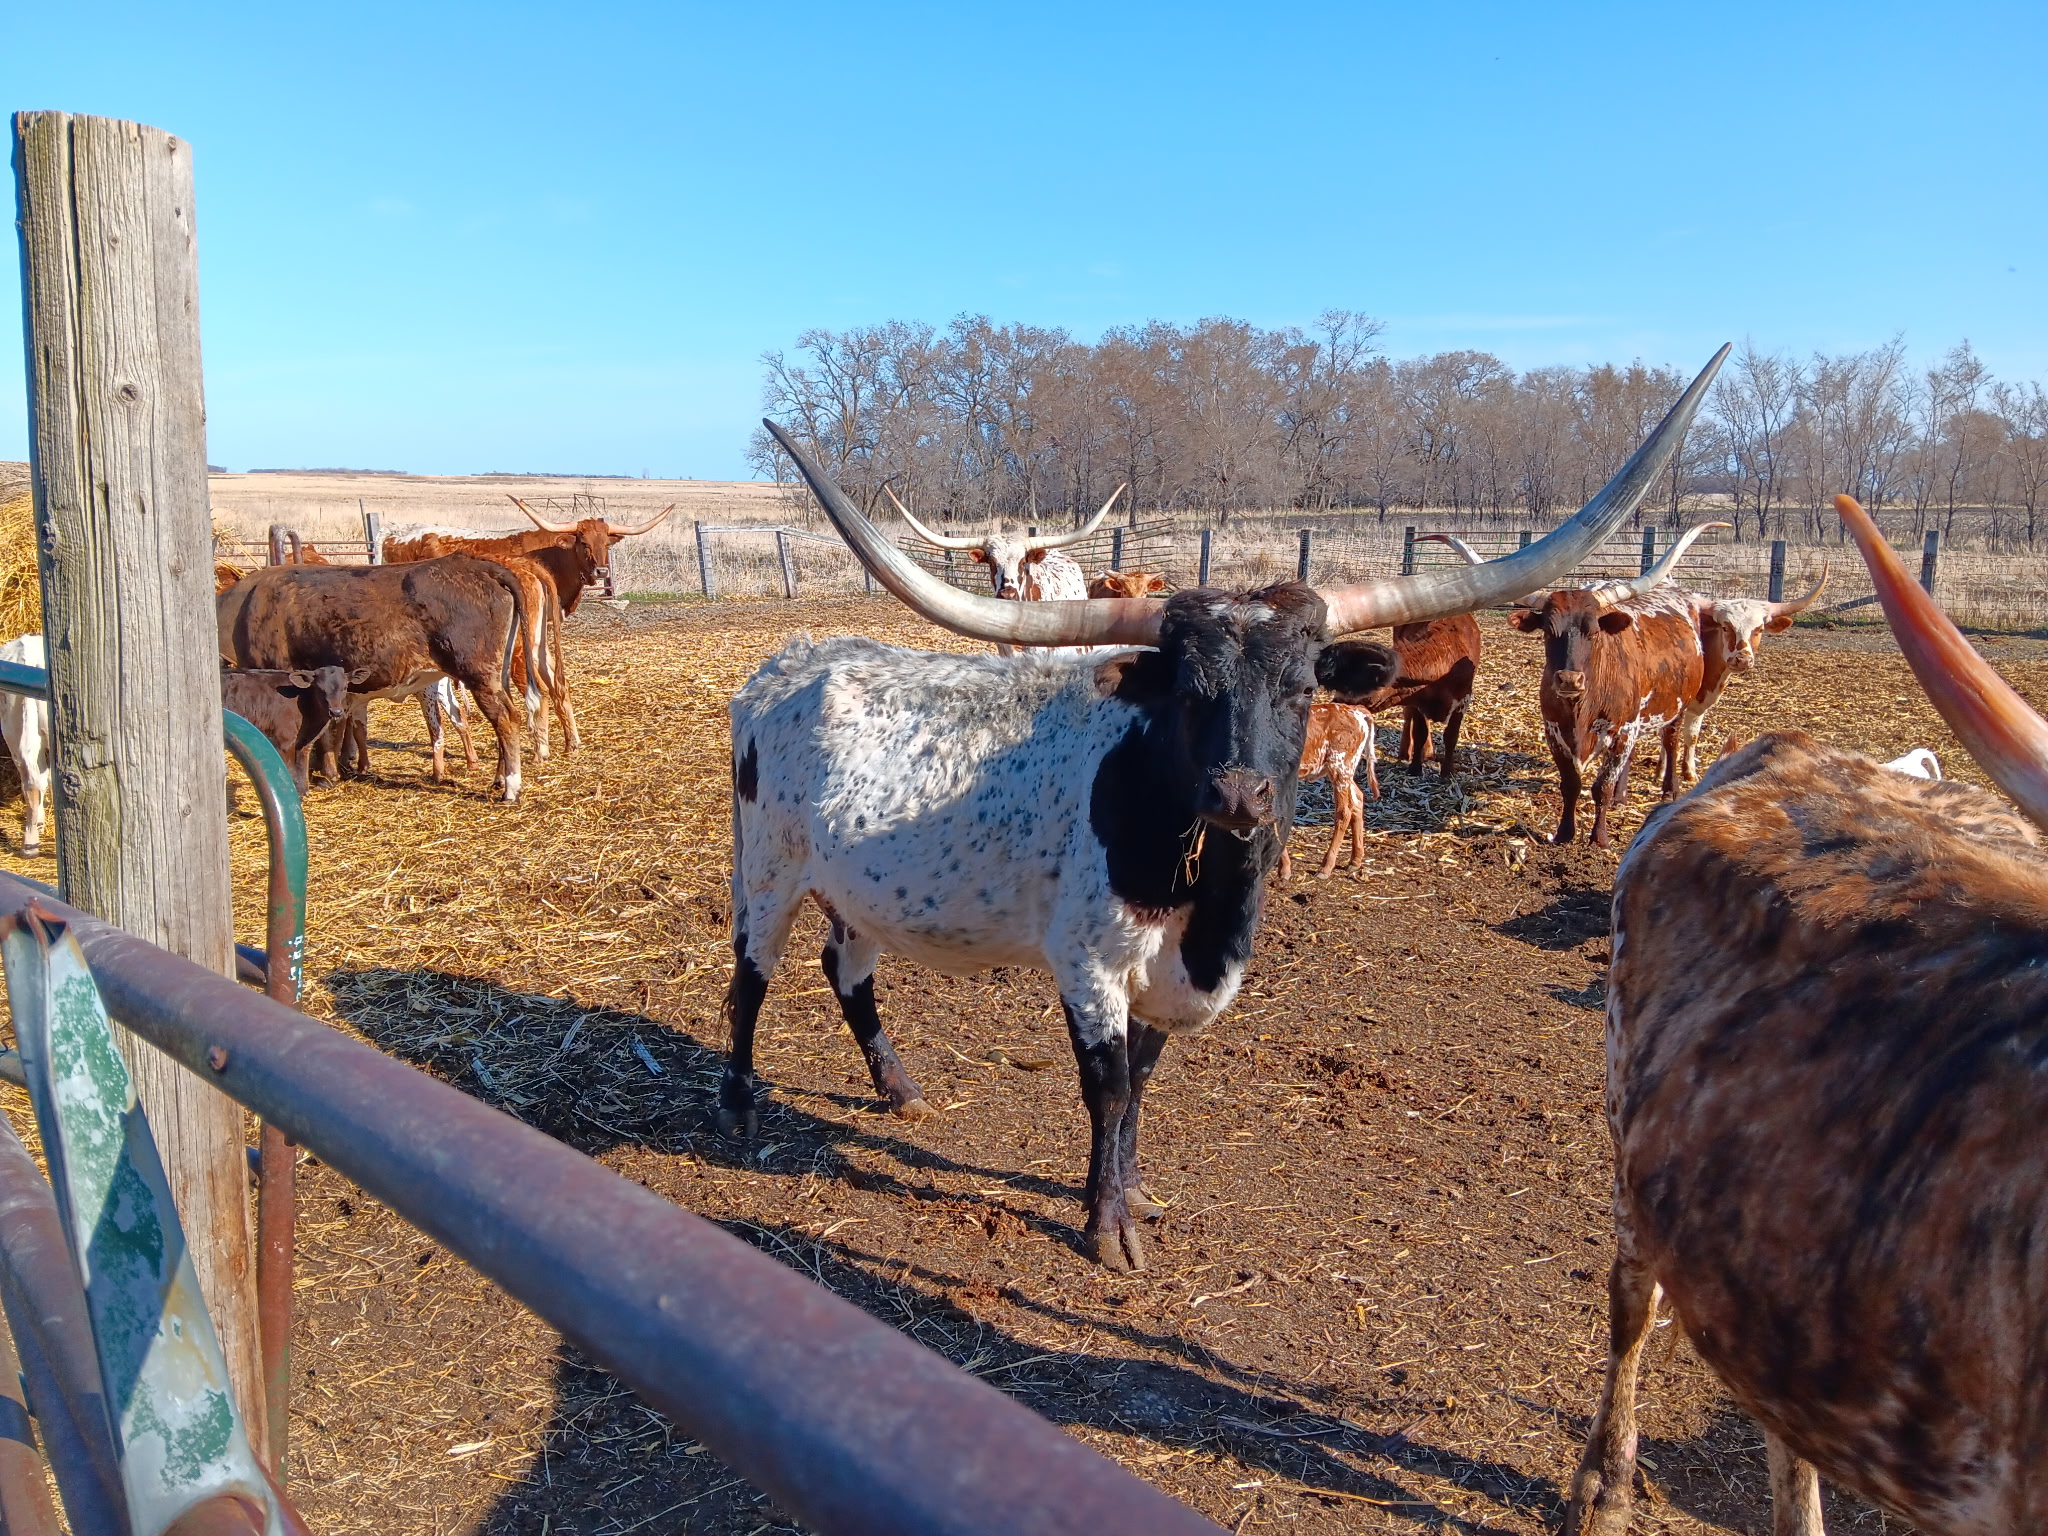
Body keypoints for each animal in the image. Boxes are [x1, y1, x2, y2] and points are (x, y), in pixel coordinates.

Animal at [221, 664, 364, 791]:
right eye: (319, 689)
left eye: (345, 687)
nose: (336, 712)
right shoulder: (285, 740)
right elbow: (290, 771)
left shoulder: (306, 740)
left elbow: (302, 766)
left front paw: (303, 791)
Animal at [1275, 701, 1381, 881]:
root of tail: (1355, 710)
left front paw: (1284, 869)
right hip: (1344, 771)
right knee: (1358, 799)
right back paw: (1355, 860)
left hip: (1340, 766)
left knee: (1344, 812)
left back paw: (1326, 867)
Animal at [1511, 522, 1727, 847]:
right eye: (1548, 631)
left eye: (1593, 630)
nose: (1569, 679)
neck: (1580, 709)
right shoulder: (1553, 731)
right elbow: (1570, 784)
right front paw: (1564, 833)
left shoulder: (1622, 729)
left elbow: (1601, 785)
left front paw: (1599, 838)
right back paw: (1620, 797)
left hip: (1677, 707)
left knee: (1671, 741)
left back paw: (1669, 789)